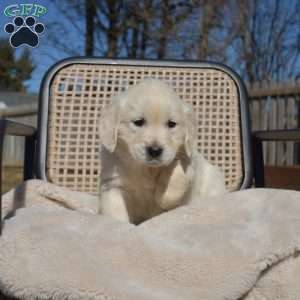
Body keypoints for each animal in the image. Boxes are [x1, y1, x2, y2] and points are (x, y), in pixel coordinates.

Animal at [98, 78, 225, 224]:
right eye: (138, 122)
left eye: (171, 124)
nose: (155, 150)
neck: (147, 169)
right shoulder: (112, 183)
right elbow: (115, 212)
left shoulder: (188, 161)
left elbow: (177, 173)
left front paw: (163, 197)